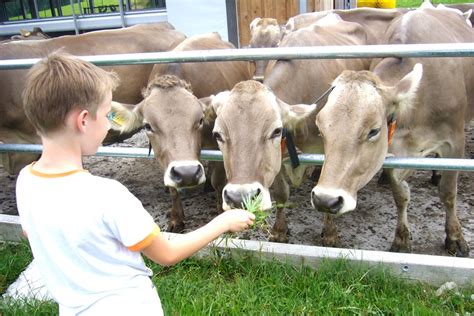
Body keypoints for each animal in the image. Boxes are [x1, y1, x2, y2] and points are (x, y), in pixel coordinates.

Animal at [109, 32, 254, 232]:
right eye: (147, 126)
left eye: (200, 120)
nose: (187, 173)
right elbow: (172, 188)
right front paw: (176, 219)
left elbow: (218, 180)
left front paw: (222, 213)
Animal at [312, 4, 470, 256]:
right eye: (321, 128)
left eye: (374, 131)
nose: (325, 200)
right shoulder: (393, 150)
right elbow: (400, 194)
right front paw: (402, 238)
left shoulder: (455, 141)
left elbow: (448, 192)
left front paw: (454, 236)